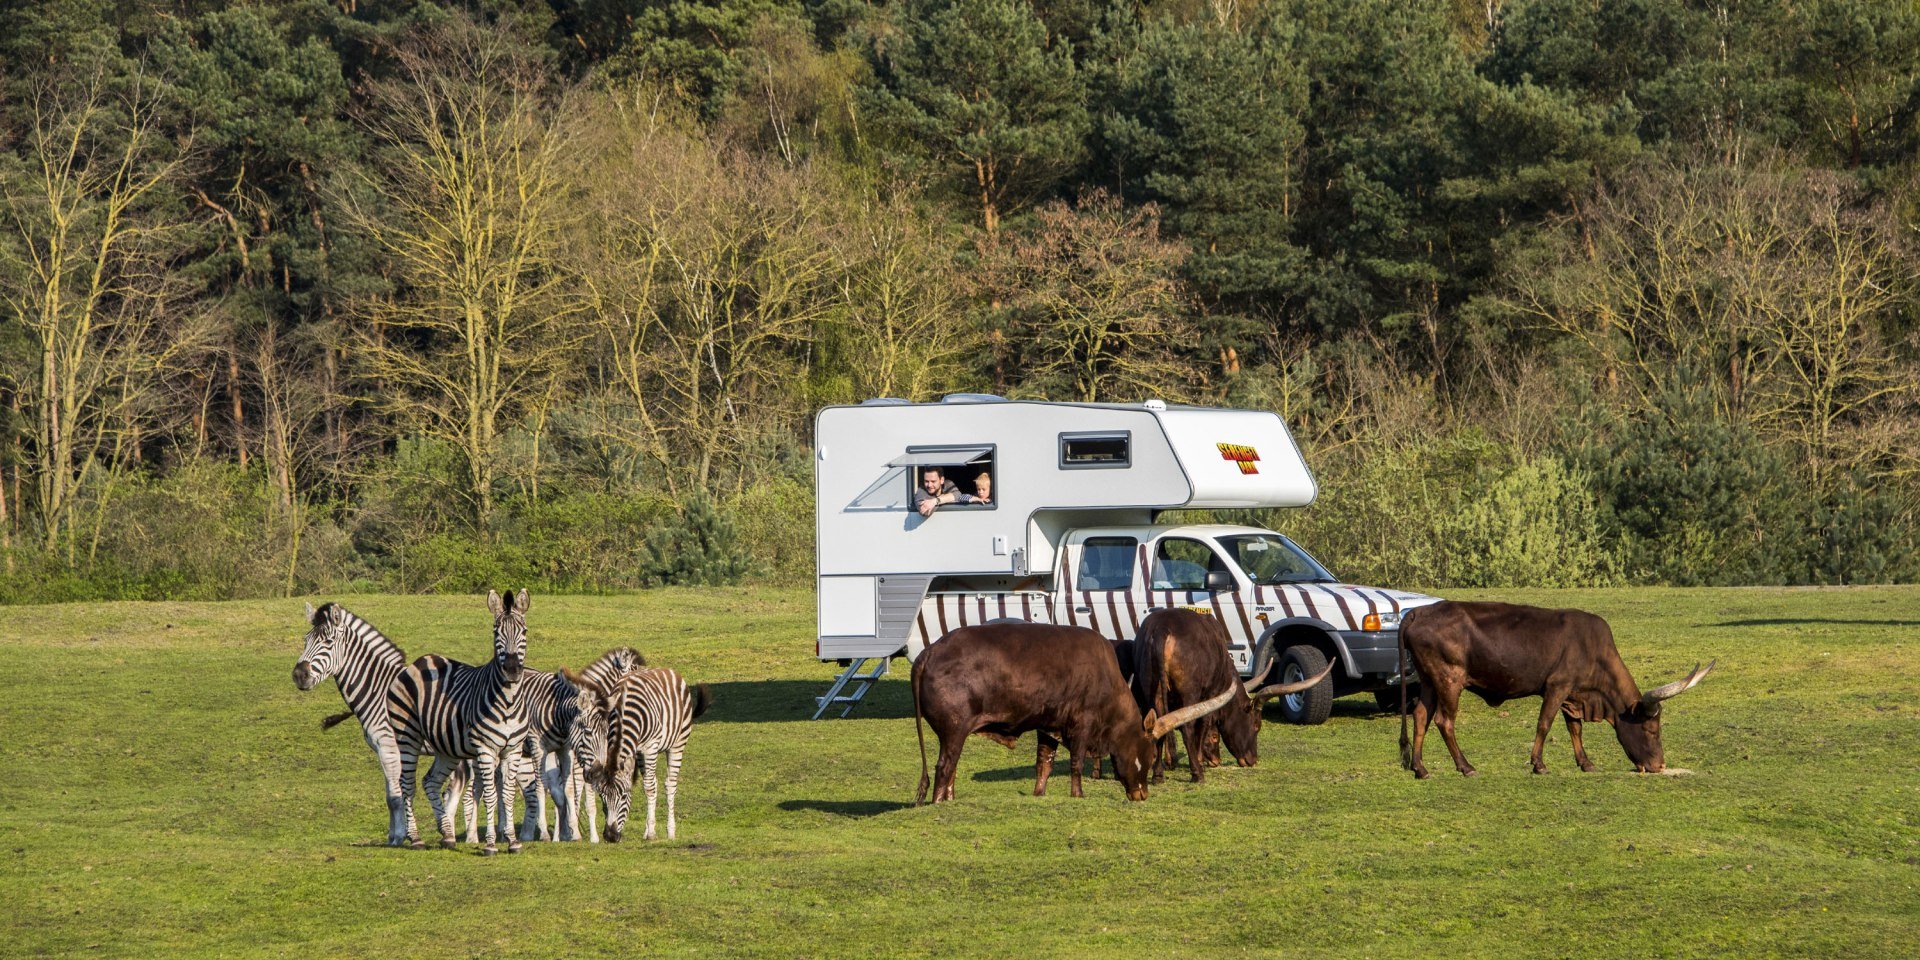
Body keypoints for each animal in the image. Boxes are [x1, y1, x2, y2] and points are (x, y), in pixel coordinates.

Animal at [385, 583, 533, 856]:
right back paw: (416, 838)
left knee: (430, 781)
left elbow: (507, 795)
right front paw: (490, 844)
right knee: (407, 784)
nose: (511, 670)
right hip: (407, 735)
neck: (508, 699)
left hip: (447, 748)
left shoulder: (514, 749)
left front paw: (513, 841)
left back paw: (447, 835)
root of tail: (420, 661)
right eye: (496, 632)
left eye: (524, 631)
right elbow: (490, 795)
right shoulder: (486, 750)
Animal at [591, 656, 714, 844]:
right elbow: (647, 786)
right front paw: (649, 830)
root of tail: (667, 670)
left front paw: (651, 834)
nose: (610, 837)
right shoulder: (634, 750)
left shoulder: (649, 747)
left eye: (624, 796)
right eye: (602, 797)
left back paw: (670, 832)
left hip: (677, 743)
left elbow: (649, 787)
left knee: (670, 784)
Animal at [910, 622, 1236, 802]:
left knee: (951, 770)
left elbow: (1044, 763)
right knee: (944, 768)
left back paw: (950, 800)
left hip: (955, 734)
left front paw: (1039, 794)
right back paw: (939, 802)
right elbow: (1077, 762)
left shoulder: (1048, 725)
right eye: (1147, 754)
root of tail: (928, 653)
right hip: (954, 730)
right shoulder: (1082, 723)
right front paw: (1078, 794)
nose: (1141, 794)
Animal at [1390, 599, 1720, 779]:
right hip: (1449, 679)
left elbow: (1575, 728)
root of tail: (1419, 612)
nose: (1659, 765)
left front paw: (1586, 763)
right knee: (1444, 721)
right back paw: (1465, 766)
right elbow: (1544, 724)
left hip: (1430, 681)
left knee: (1421, 717)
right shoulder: (1556, 687)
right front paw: (1538, 764)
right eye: (1652, 729)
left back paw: (1420, 768)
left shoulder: (1573, 695)